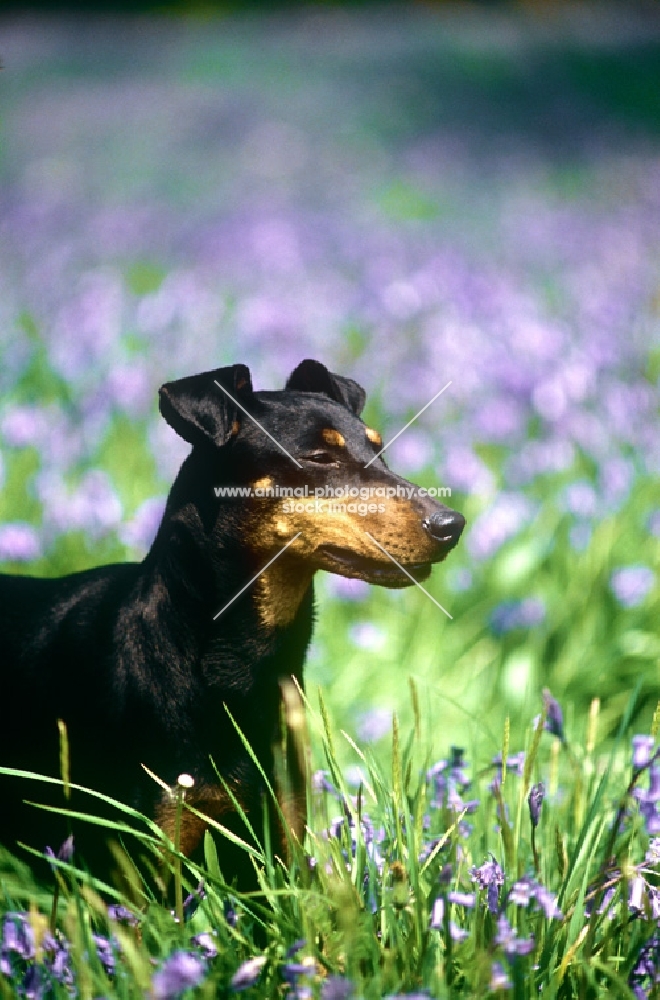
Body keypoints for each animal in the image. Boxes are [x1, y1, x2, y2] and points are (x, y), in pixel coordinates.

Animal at [0, 358, 464, 884]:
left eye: (379, 449)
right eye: (320, 456)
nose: (451, 524)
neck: (234, 663)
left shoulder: (277, 849)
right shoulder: (144, 865)